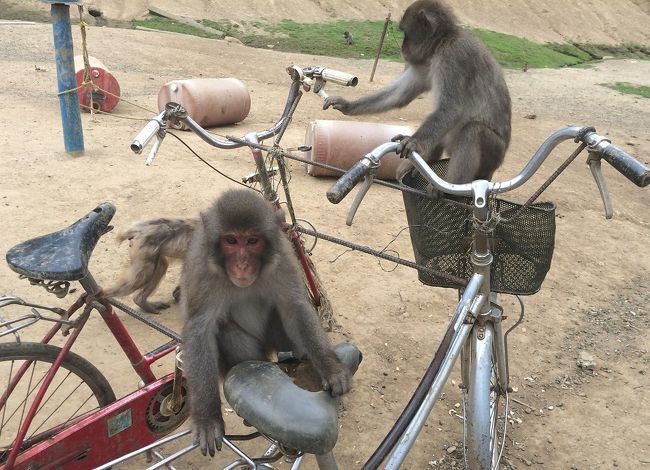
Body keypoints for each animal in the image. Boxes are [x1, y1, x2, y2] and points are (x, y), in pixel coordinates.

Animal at [178, 187, 350, 456]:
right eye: (230, 241)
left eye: (252, 241)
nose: (242, 264)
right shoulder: (201, 270)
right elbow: (199, 329)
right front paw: (207, 418)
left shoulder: (283, 257)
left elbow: (294, 305)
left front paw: (330, 368)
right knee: (225, 331)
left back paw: (298, 364)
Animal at [322, 0, 508, 187]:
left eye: (406, 32)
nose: (403, 47)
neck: (442, 43)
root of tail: (493, 169)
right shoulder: (425, 63)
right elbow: (399, 95)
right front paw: (346, 105)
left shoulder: (455, 56)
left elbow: (452, 108)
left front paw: (414, 141)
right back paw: (424, 160)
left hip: (494, 154)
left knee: (473, 130)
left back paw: (449, 187)